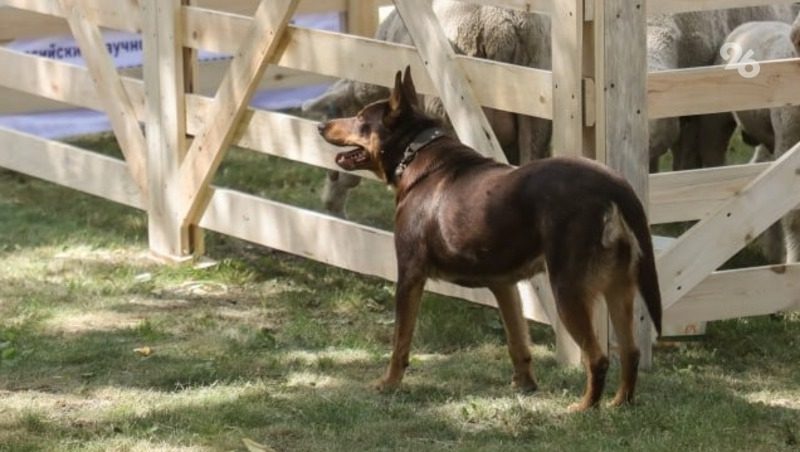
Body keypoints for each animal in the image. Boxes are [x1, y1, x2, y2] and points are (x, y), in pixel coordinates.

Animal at [316, 68, 660, 414]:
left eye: (361, 119)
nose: (320, 126)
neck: (414, 153)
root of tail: (613, 186)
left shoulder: (410, 274)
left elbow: (400, 339)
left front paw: (388, 384)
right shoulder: (504, 285)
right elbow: (517, 340)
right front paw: (525, 386)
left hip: (569, 289)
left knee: (598, 357)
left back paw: (584, 407)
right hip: (620, 287)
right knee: (630, 351)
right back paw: (620, 403)